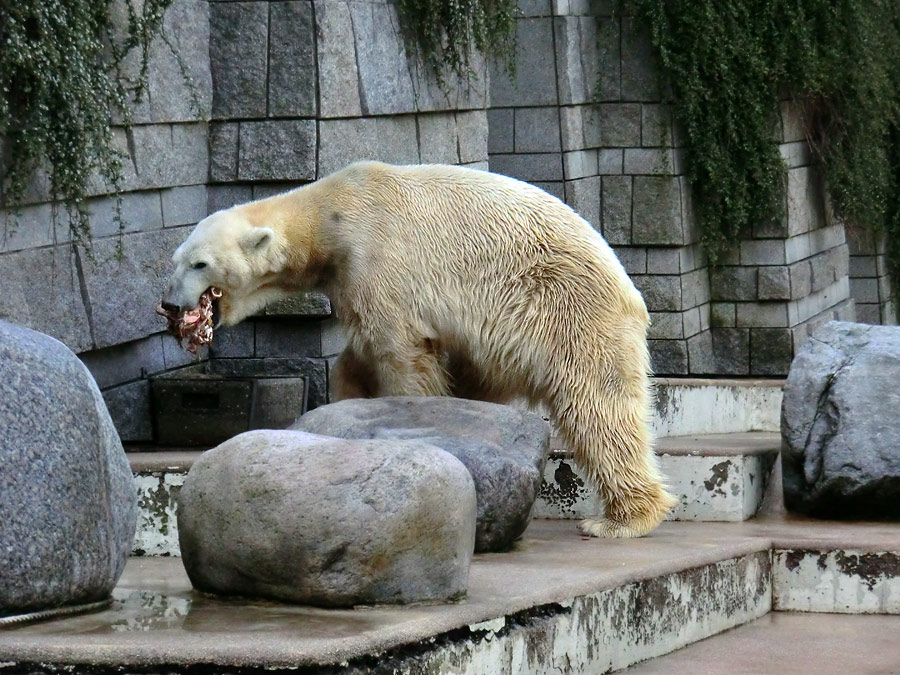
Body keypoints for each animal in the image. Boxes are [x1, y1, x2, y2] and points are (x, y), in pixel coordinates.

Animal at [162, 161, 676, 536]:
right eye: (177, 260)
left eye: (200, 263)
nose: (169, 303)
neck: (330, 215)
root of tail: (629, 289)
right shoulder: (349, 277)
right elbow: (358, 356)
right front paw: (346, 402)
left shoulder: (378, 261)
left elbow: (399, 351)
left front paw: (411, 413)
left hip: (564, 312)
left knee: (597, 406)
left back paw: (621, 520)